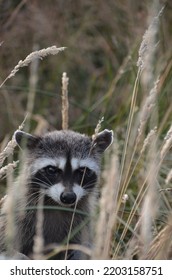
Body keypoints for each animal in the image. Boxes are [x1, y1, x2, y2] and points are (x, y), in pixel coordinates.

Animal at [0, 129, 113, 260]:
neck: (55, 204)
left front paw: (81, 251)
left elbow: (84, 245)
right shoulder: (18, 215)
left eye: (83, 171)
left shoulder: (82, 221)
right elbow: (7, 249)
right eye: (51, 170)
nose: (68, 197)